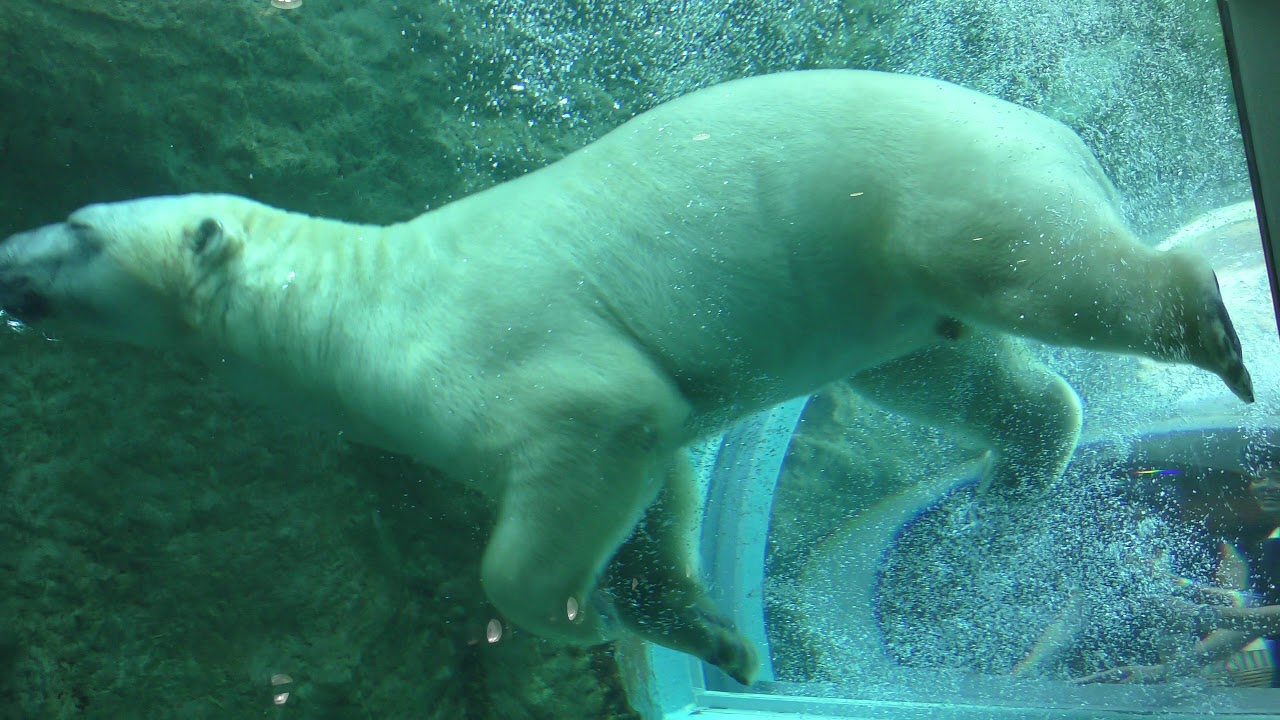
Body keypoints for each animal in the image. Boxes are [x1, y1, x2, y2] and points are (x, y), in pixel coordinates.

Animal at [0, 69, 1254, 685]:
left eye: (78, 225)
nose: (7, 257)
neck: (360, 303)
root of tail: (1051, 126)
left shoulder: (504, 352)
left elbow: (598, 429)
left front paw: (558, 618)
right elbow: (659, 498)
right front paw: (719, 640)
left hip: (924, 184)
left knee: (1050, 279)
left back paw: (1209, 328)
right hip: (885, 280)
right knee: (950, 368)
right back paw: (1019, 467)